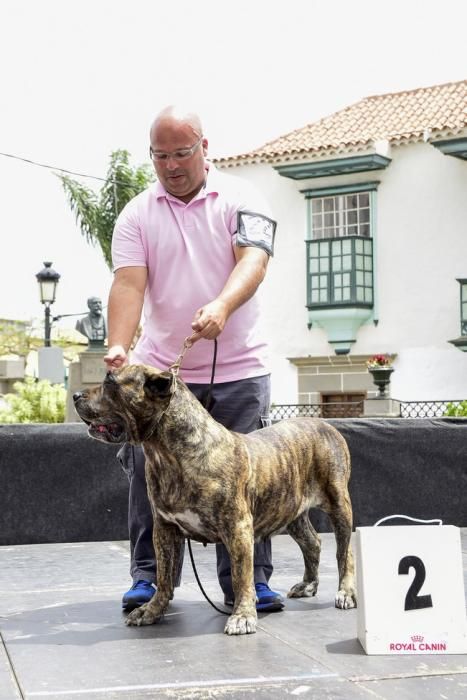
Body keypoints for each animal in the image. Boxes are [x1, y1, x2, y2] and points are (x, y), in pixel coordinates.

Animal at [74, 366, 358, 636]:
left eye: (110, 381)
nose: (76, 395)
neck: (168, 454)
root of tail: (325, 424)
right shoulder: (164, 528)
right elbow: (164, 575)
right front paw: (152, 610)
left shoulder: (238, 528)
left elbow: (241, 576)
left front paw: (242, 616)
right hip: (291, 510)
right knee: (312, 542)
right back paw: (308, 584)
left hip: (338, 503)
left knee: (345, 552)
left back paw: (345, 592)